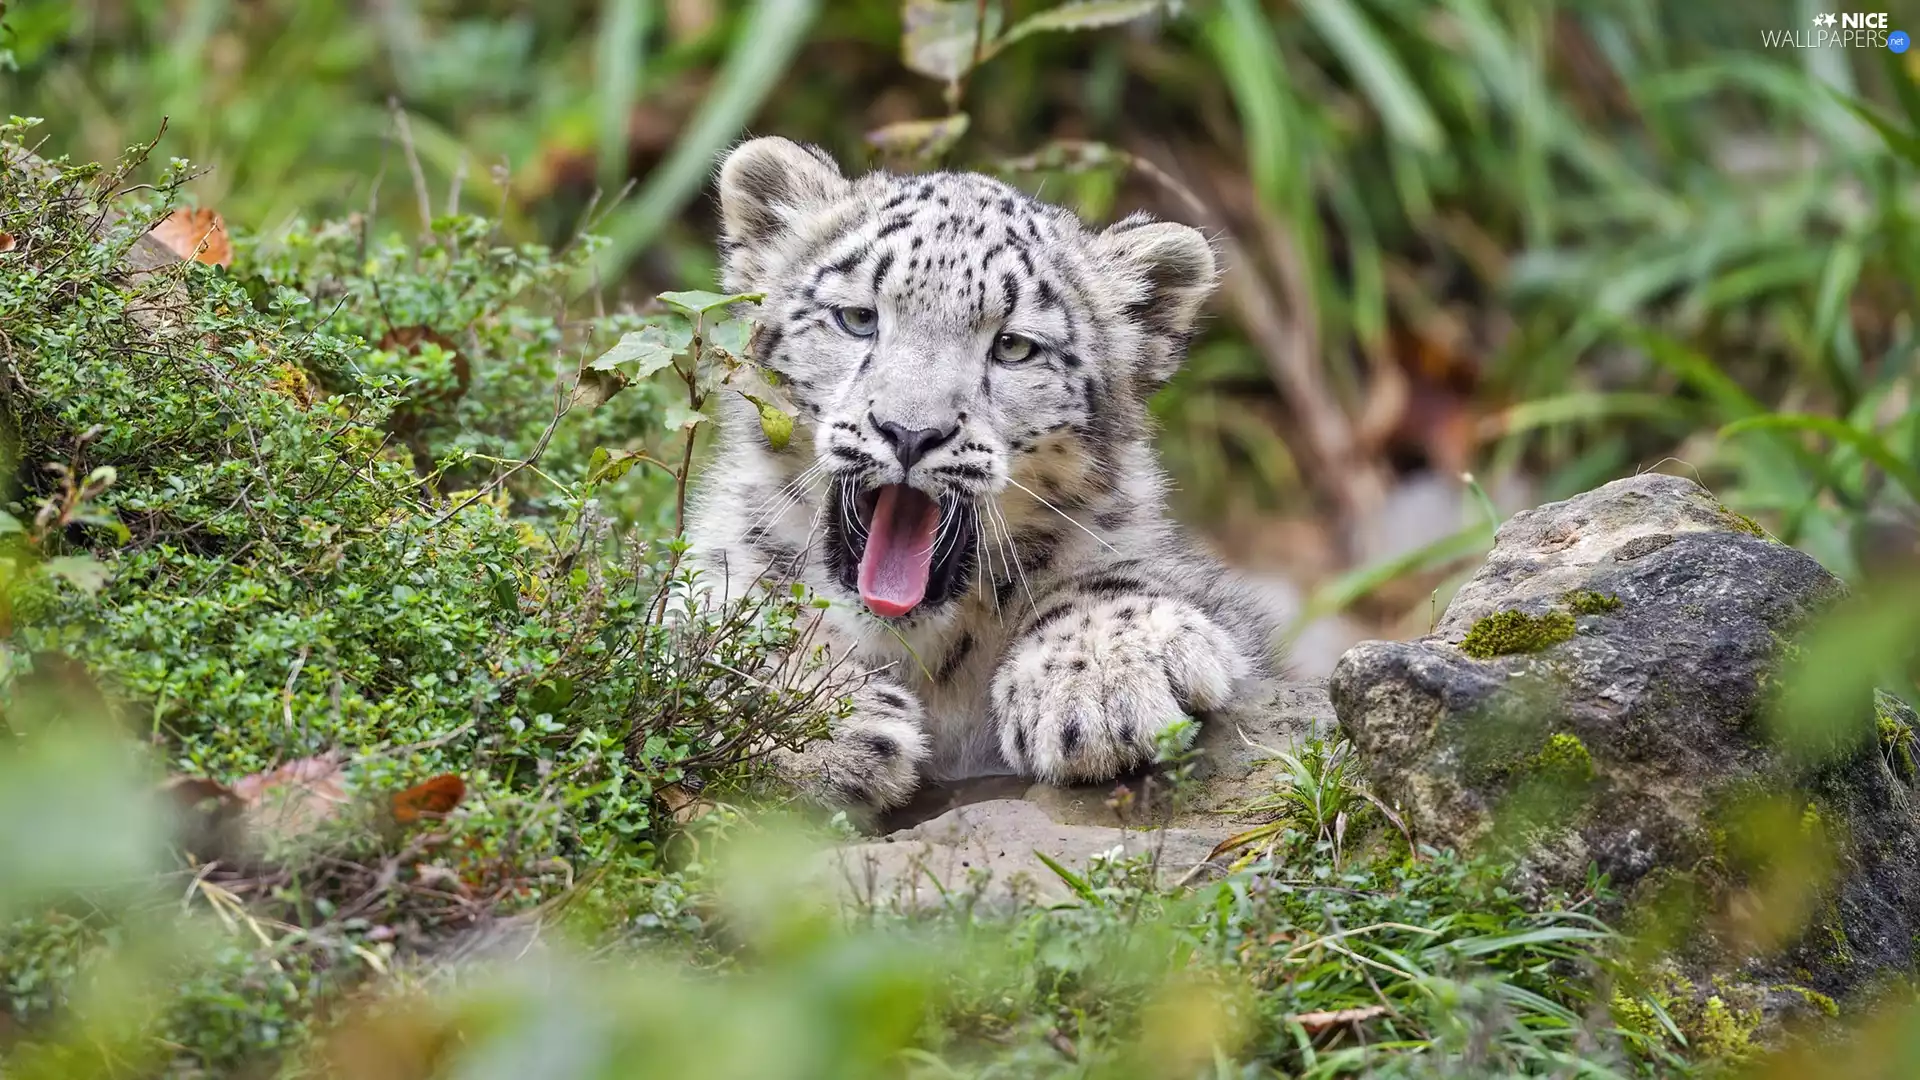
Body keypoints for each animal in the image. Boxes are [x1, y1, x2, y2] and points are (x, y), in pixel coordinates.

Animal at [684, 136, 1283, 814]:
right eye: (858, 318)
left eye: (1014, 347)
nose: (909, 431)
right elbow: (698, 638)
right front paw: (824, 719)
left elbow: (1124, 576)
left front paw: (1104, 679)